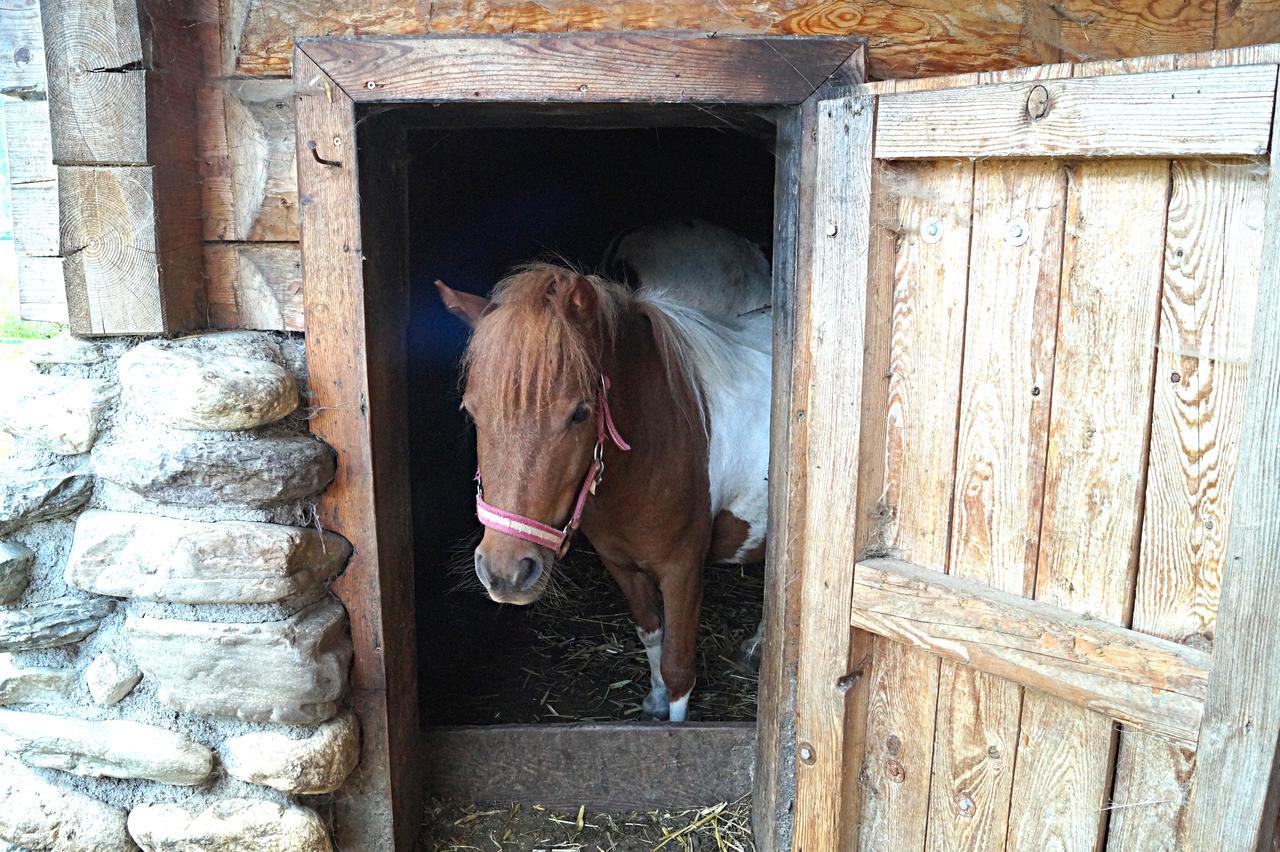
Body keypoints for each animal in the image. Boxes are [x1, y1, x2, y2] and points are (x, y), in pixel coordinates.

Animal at [435, 217, 768, 716]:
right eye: (471, 412)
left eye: (580, 413)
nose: (506, 573)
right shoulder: (621, 564)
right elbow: (650, 634)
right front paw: (652, 700)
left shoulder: (683, 571)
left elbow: (679, 669)